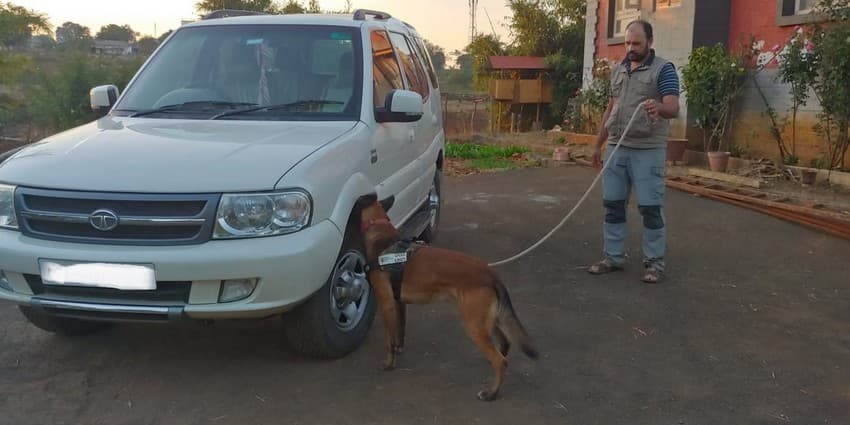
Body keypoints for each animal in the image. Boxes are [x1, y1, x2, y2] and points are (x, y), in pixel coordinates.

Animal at [354, 194, 532, 400]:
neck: (382, 239)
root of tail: (489, 273)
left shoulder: (386, 304)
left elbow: (389, 340)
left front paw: (390, 363)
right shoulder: (399, 303)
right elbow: (400, 330)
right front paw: (399, 348)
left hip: (473, 324)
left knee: (500, 361)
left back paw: (491, 393)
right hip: (487, 319)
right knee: (504, 343)